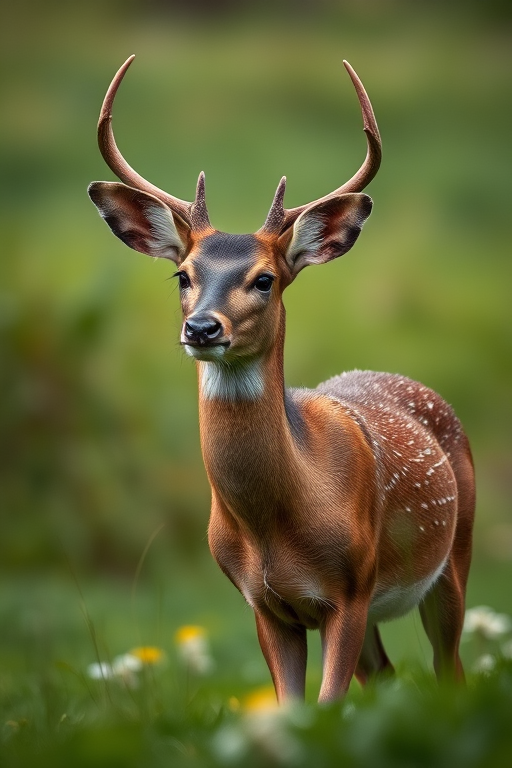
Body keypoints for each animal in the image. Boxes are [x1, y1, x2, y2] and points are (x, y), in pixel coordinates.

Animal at [88, 56, 475, 704]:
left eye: (265, 279)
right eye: (183, 275)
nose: (201, 327)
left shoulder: (350, 590)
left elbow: (328, 707)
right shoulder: (265, 607)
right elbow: (297, 709)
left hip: (452, 559)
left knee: (452, 671)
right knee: (387, 674)